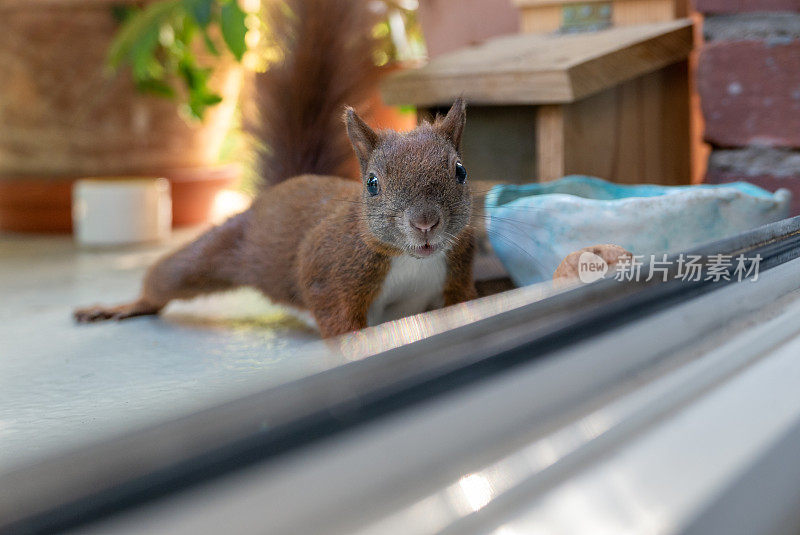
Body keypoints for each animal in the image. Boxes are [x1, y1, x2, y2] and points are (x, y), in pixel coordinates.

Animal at [73, 0, 476, 338]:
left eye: (460, 171)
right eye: (373, 183)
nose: (425, 222)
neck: (411, 261)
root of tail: (284, 186)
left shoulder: (456, 277)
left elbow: (466, 303)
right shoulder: (328, 273)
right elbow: (337, 318)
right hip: (226, 243)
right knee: (172, 274)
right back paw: (127, 305)